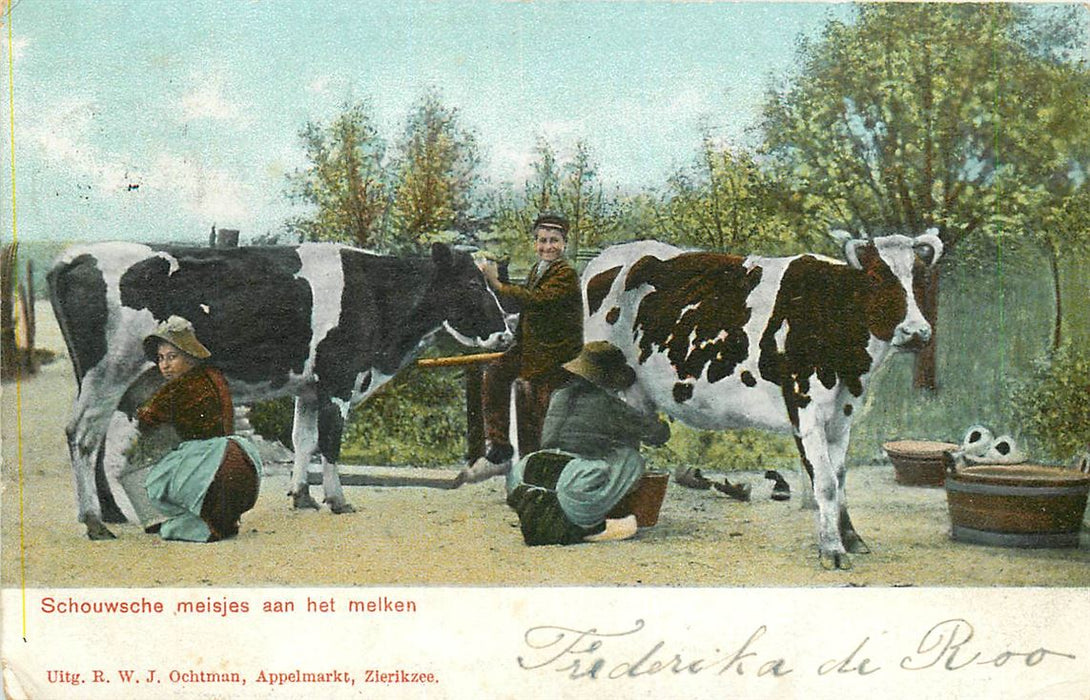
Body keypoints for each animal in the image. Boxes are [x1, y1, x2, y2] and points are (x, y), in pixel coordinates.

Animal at [49, 239, 512, 540]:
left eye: (491, 283)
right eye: (474, 285)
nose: (507, 334)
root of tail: (76, 256)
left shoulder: (308, 387)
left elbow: (303, 439)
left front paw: (302, 495)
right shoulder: (339, 378)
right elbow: (331, 442)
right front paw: (337, 499)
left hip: (101, 378)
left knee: (93, 440)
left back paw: (111, 513)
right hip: (108, 373)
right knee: (82, 436)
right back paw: (94, 521)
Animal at [579, 228, 946, 566]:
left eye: (922, 276)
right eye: (875, 276)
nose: (917, 332)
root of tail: (604, 258)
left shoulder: (843, 415)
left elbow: (840, 478)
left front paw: (851, 537)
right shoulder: (805, 405)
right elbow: (826, 482)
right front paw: (832, 549)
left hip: (635, 393)